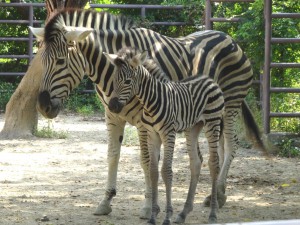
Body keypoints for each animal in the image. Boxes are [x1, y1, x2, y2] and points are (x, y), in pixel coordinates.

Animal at [105, 48, 225, 225]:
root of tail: (209, 79)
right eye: (113, 80)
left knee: (214, 163)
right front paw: (153, 216)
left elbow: (166, 171)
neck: (150, 102)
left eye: (127, 81)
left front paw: (167, 216)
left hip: (213, 122)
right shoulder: (152, 135)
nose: (112, 106)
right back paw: (183, 213)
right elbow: (153, 171)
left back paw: (213, 213)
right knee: (195, 163)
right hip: (193, 127)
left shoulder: (168, 133)